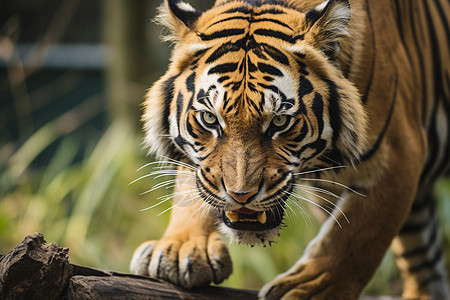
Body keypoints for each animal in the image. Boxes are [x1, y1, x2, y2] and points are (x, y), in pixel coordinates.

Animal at [128, 0, 448, 298]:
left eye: (280, 121)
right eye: (210, 119)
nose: (240, 196)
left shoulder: (398, 155)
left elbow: (356, 235)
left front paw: (313, 289)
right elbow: (194, 183)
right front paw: (180, 249)